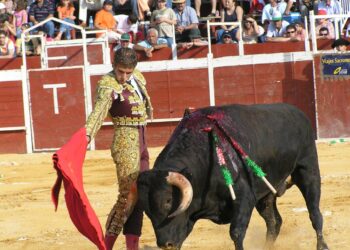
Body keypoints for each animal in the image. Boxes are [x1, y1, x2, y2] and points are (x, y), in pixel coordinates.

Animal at [136, 102, 328, 249]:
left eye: (168, 201)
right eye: (146, 209)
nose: (165, 244)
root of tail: (298, 113)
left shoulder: (244, 197)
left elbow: (236, 232)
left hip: (308, 171)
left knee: (314, 213)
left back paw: (322, 245)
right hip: (266, 195)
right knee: (274, 222)